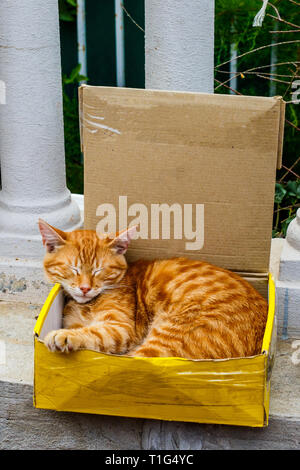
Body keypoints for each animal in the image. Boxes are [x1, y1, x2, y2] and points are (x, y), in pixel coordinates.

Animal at [39, 218, 268, 358]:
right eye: (73, 268)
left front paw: (65, 337)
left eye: (99, 270)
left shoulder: (120, 327)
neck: (87, 304)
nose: (85, 288)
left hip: (168, 338)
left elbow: (94, 333)